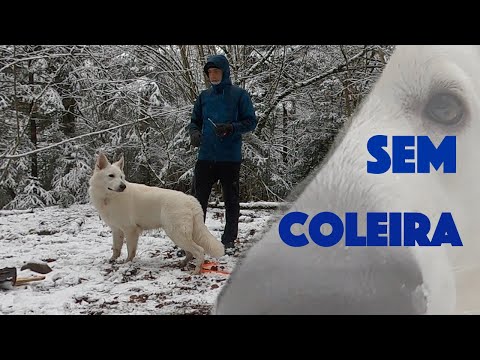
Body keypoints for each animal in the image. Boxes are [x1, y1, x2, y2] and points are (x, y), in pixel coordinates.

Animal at [87, 153, 225, 274]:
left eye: (121, 177)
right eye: (111, 176)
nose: (123, 186)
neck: (109, 197)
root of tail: (190, 199)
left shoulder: (130, 230)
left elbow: (130, 251)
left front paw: (127, 263)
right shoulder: (117, 230)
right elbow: (116, 248)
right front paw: (113, 260)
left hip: (176, 234)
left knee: (199, 251)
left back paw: (196, 271)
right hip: (179, 234)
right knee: (190, 253)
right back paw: (182, 263)